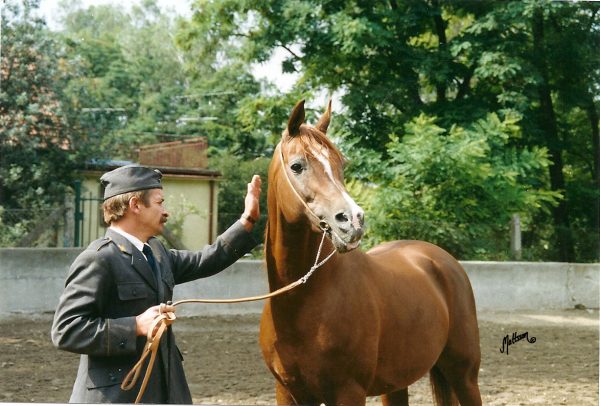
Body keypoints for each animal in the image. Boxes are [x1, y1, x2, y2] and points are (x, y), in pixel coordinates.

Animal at [258, 99, 482, 406]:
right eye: (297, 166)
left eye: (341, 163)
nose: (353, 220)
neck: (301, 302)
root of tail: (442, 260)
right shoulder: (289, 393)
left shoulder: (348, 392)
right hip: (396, 384)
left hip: (465, 376)